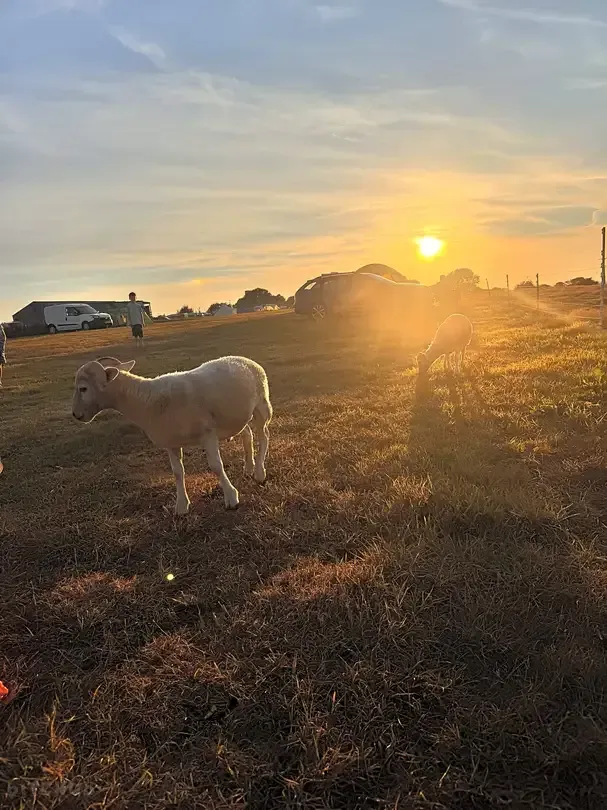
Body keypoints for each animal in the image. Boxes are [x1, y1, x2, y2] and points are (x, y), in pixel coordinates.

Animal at [72, 355, 272, 516]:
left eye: (83, 388)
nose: (75, 414)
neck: (145, 402)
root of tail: (246, 359)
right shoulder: (171, 442)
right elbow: (177, 472)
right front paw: (181, 506)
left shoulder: (207, 433)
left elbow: (216, 466)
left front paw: (231, 498)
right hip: (236, 417)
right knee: (247, 435)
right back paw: (249, 467)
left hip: (262, 405)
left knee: (264, 436)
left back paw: (259, 472)